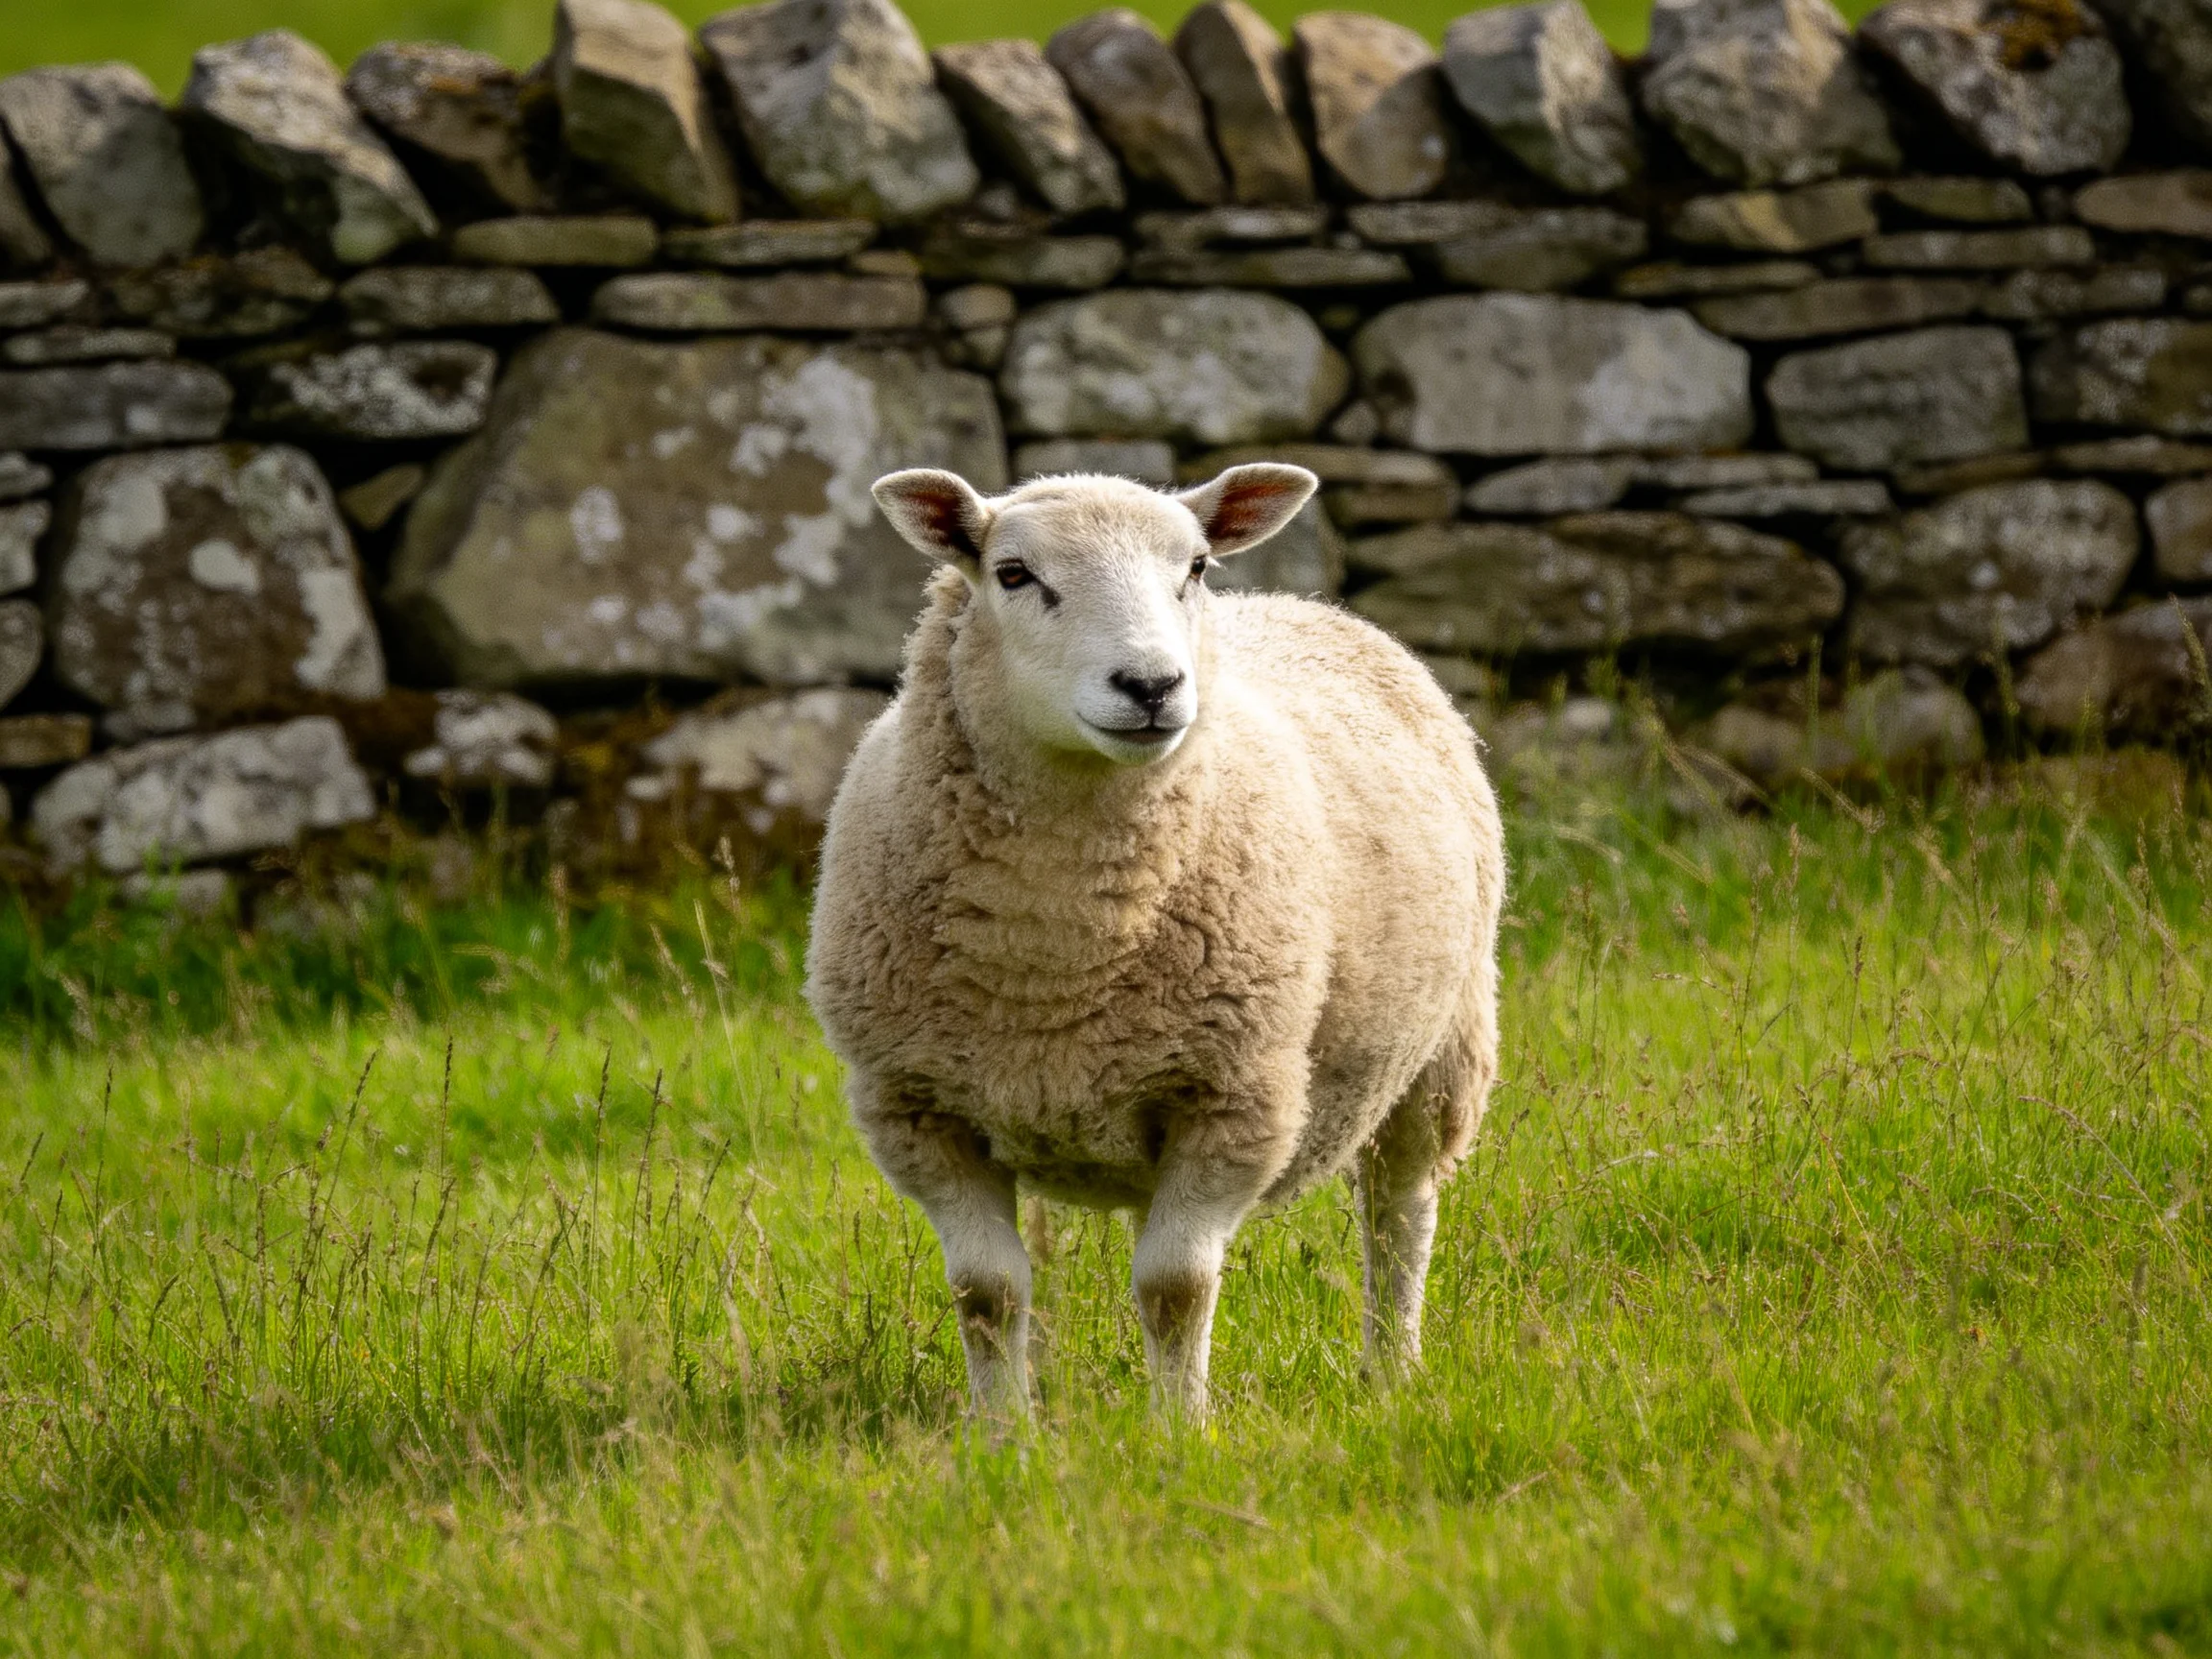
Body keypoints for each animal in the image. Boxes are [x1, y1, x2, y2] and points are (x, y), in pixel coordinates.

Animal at [804, 464, 1504, 1421]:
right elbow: (989, 1293)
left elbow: (1176, 1286)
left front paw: (1179, 1432)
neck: (1054, 955)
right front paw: (1003, 1435)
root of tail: (1306, 602)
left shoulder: (1235, 1098)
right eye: (1013, 574)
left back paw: (1392, 1370)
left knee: (1398, 1217)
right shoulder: (918, 1106)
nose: (1151, 685)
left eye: (1197, 567)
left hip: (1440, 1052)